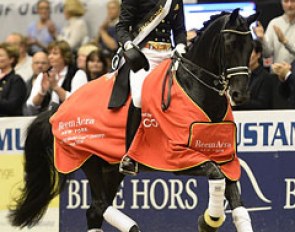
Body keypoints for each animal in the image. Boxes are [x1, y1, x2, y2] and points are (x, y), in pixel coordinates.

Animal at [8, 8, 260, 232]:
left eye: (251, 47)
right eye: (229, 44)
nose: (240, 94)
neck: (196, 90)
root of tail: (58, 109)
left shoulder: (225, 157)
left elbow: (237, 205)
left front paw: (211, 220)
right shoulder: (177, 157)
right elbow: (215, 175)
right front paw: (209, 221)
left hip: (111, 169)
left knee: (95, 211)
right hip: (89, 159)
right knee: (99, 205)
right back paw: (133, 227)